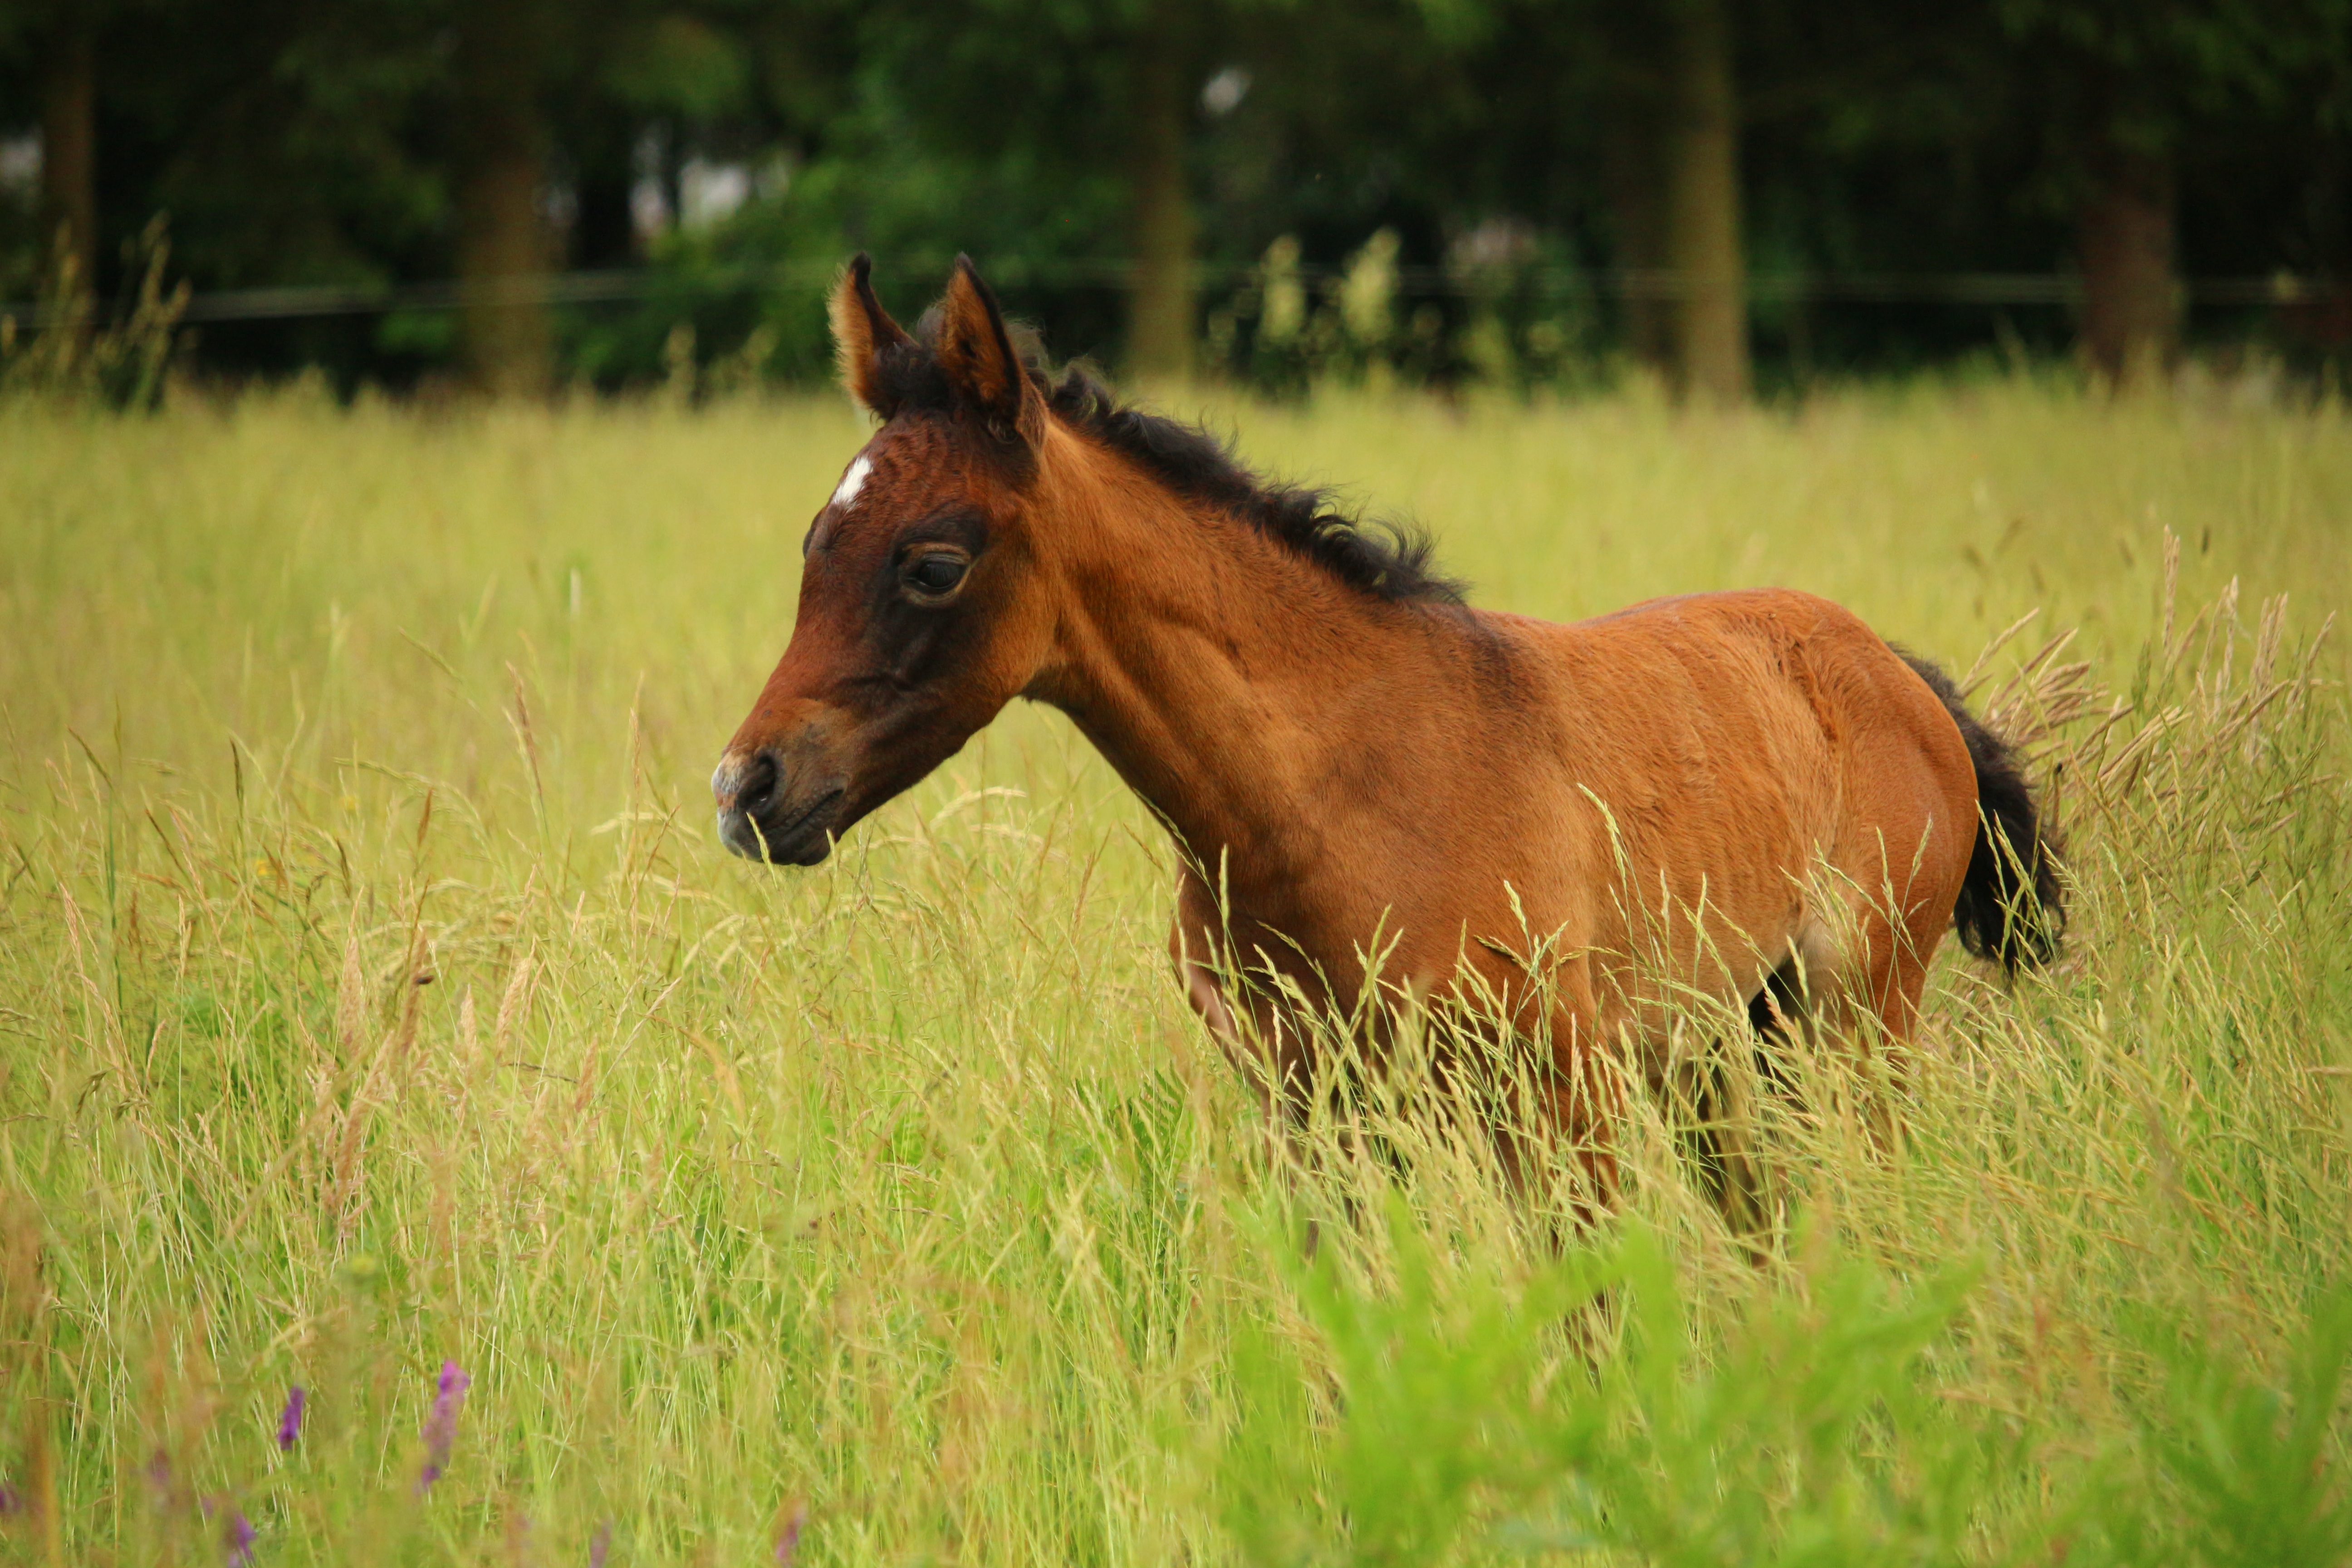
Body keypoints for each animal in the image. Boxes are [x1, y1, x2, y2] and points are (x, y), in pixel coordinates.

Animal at [715, 257, 2060, 1213]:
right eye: (812, 544)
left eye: (932, 563)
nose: (748, 788)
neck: (1324, 797)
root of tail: (1898, 673)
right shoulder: (1316, 1113)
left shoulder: (1556, 1090)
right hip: (1733, 1049)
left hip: (1856, 1021)